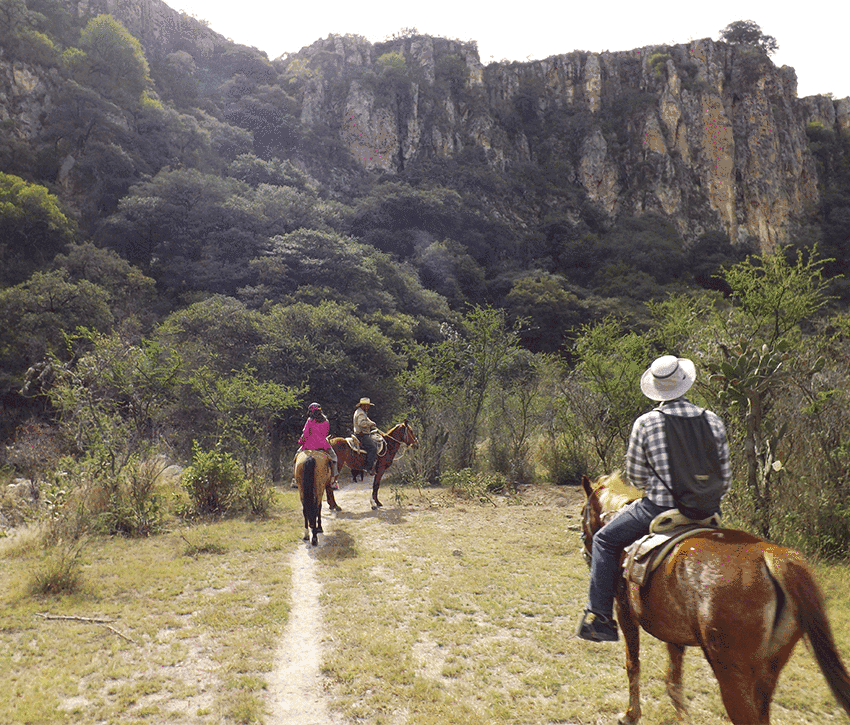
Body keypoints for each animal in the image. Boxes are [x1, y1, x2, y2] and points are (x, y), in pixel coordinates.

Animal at [580, 472, 848, 720]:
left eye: (583, 513)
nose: (585, 552)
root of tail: (770, 554)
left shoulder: (624, 611)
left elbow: (632, 663)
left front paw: (630, 714)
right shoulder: (672, 630)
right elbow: (674, 680)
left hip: (732, 675)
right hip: (768, 671)